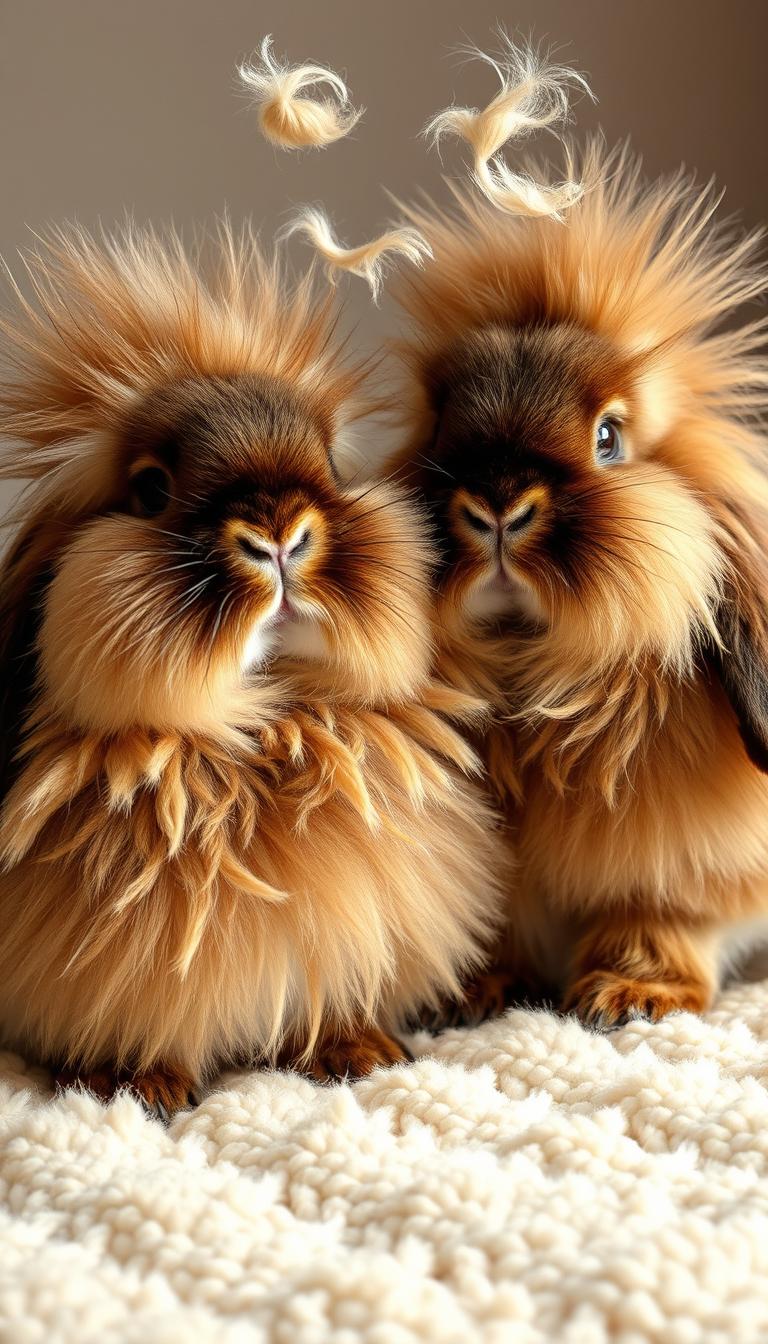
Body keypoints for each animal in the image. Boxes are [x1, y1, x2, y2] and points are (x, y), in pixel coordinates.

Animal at [0, 224, 505, 1113]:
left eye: (330, 467)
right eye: (151, 489)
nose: (279, 535)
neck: (264, 723)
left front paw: (360, 1053)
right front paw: (133, 1087)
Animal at [385, 143, 768, 1030]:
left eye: (608, 439)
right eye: (438, 427)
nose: (496, 505)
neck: (529, 663)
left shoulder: (679, 875)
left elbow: (662, 923)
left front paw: (630, 998)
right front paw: (475, 998)